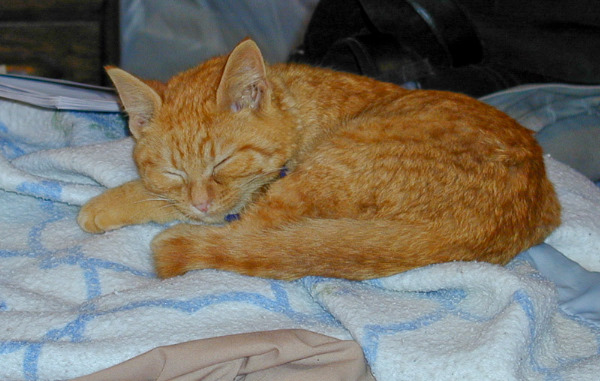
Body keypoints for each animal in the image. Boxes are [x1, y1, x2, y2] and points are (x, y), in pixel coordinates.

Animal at [77, 37, 560, 280]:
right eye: (174, 170)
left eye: (223, 162)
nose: (200, 201)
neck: (298, 104)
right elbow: (163, 196)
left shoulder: (251, 194)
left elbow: (198, 210)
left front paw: (107, 204)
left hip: (328, 167)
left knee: (250, 238)